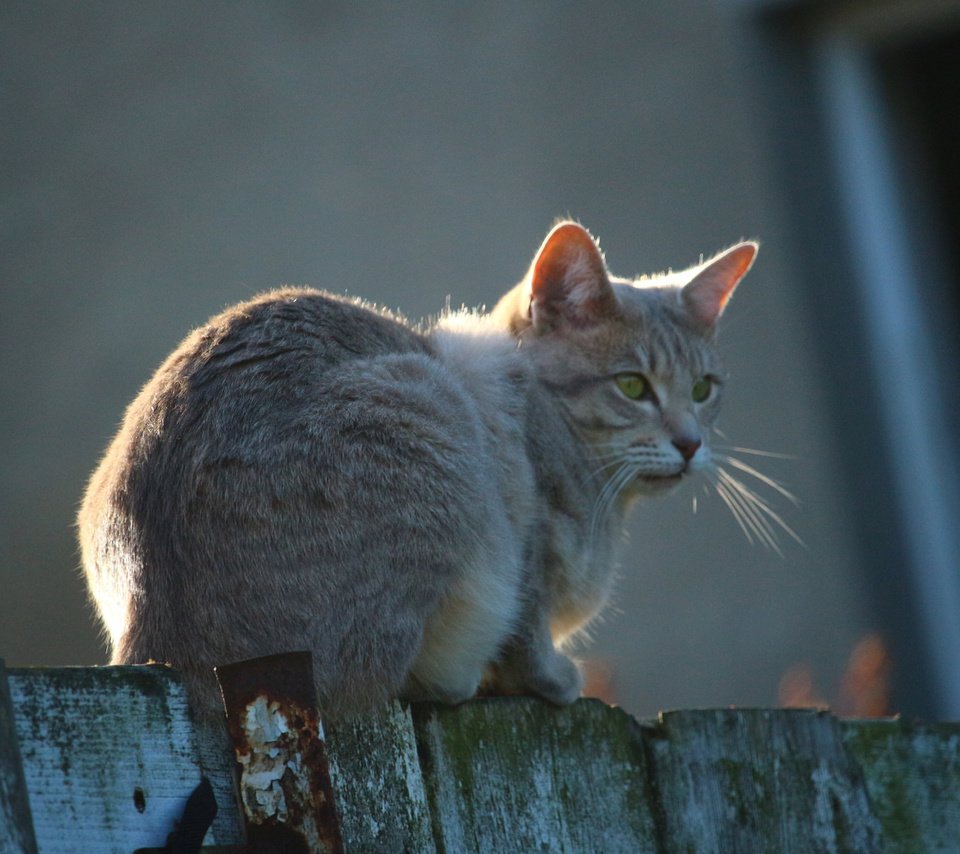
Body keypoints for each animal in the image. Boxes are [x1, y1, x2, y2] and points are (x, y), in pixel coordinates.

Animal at [79, 222, 756, 724]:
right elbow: (528, 634)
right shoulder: (524, 537)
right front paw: (555, 679)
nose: (691, 443)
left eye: (704, 389)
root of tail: (152, 640)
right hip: (430, 413)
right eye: (633, 386)